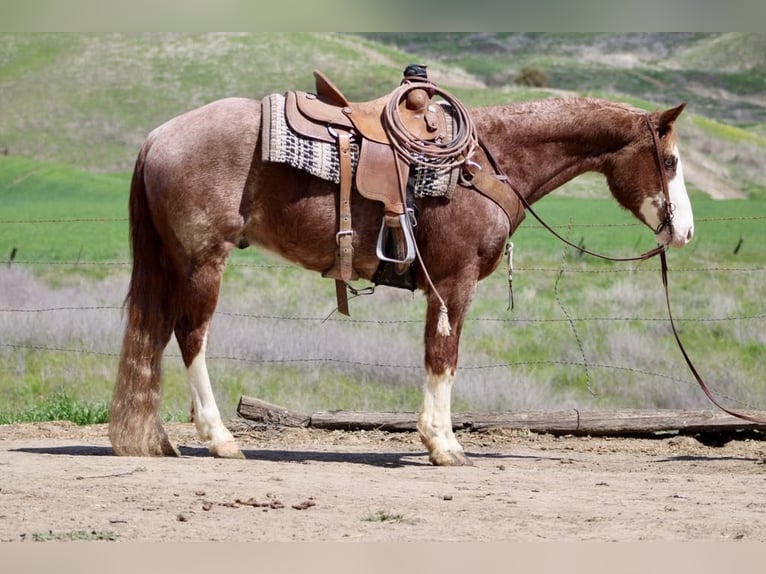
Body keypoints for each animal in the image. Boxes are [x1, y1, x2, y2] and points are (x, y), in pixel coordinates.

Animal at [108, 89, 694, 466]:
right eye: (668, 162)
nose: (685, 230)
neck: (485, 164)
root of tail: (159, 136)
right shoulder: (453, 282)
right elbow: (443, 357)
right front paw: (444, 445)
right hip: (203, 260)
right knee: (191, 337)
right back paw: (220, 438)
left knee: (157, 334)